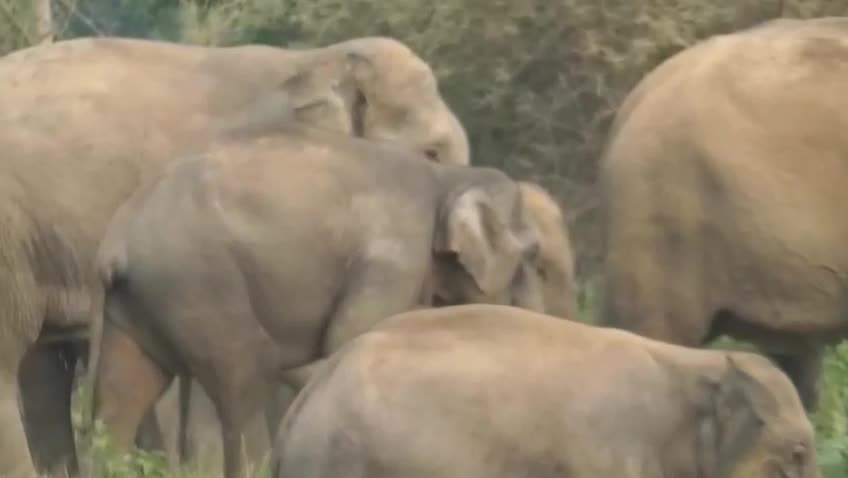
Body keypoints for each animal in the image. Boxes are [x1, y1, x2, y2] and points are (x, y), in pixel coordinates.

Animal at [88, 122, 552, 478]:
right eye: (533, 256)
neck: (446, 177)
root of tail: (118, 239)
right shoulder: (395, 257)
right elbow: (349, 335)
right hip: (198, 277)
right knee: (245, 375)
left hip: (140, 299)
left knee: (123, 393)